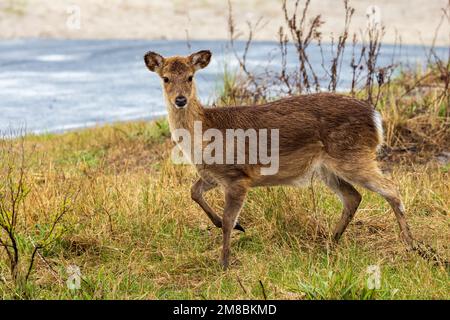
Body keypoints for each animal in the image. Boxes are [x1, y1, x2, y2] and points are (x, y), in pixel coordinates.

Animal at [144, 50, 414, 270]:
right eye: (165, 78)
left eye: (190, 77)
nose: (180, 99)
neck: (203, 137)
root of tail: (376, 118)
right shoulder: (212, 175)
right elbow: (194, 192)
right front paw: (225, 227)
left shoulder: (237, 176)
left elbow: (229, 219)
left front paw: (224, 263)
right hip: (327, 167)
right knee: (353, 197)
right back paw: (330, 242)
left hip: (352, 155)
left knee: (391, 188)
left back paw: (411, 245)